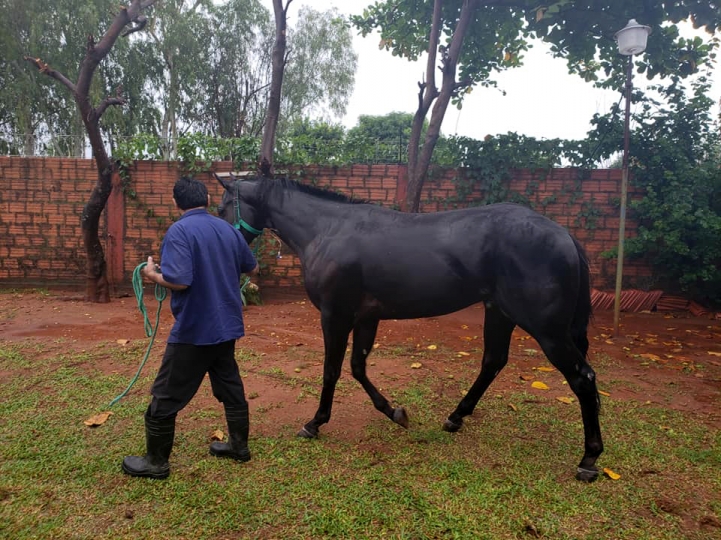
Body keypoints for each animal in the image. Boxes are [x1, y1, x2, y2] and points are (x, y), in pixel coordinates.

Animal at [215, 175, 600, 484]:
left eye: (221, 207)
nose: (239, 259)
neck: (328, 229)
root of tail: (564, 235)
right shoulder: (366, 318)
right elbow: (358, 368)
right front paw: (395, 412)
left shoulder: (335, 315)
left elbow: (331, 371)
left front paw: (315, 423)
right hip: (500, 313)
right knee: (493, 361)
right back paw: (455, 417)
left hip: (546, 329)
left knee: (582, 378)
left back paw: (590, 458)